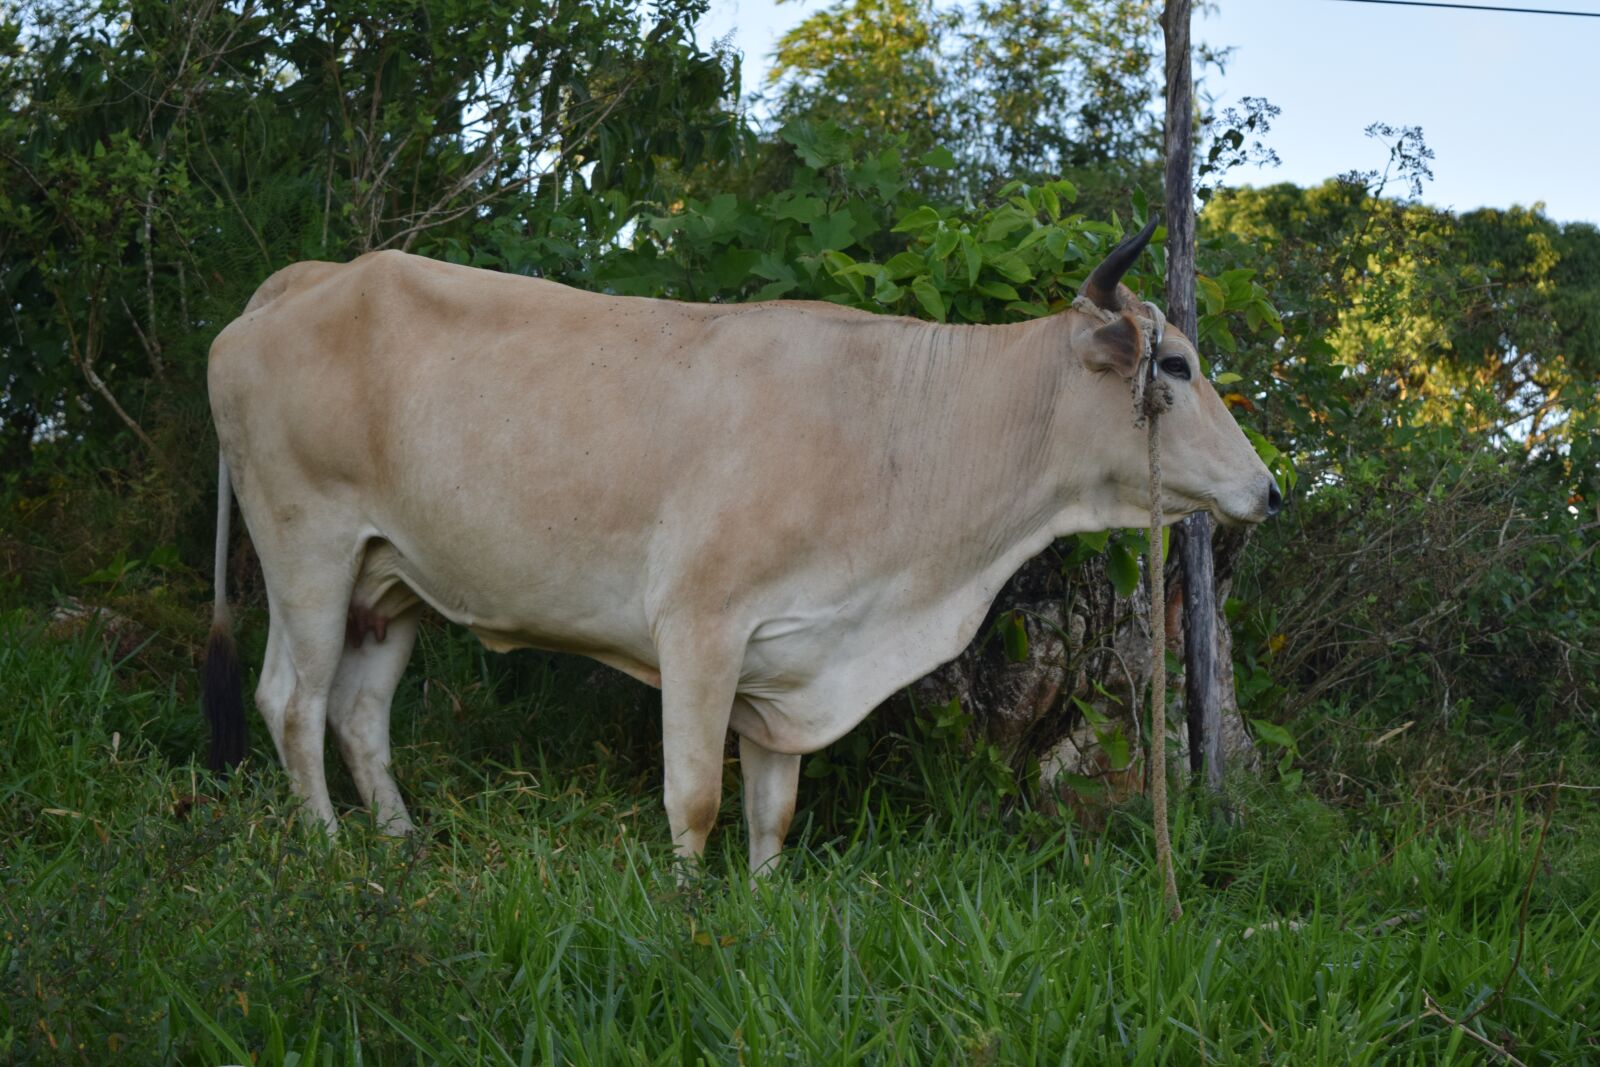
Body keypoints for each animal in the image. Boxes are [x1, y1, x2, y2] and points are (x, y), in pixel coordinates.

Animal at [202, 217, 1280, 872]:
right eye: (1175, 365)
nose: (1268, 489)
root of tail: (312, 277)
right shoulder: (699, 627)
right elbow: (695, 798)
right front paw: (686, 913)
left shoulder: (792, 658)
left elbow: (773, 809)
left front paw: (763, 906)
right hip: (307, 548)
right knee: (291, 700)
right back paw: (328, 848)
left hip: (389, 580)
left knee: (358, 712)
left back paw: (399, 839)